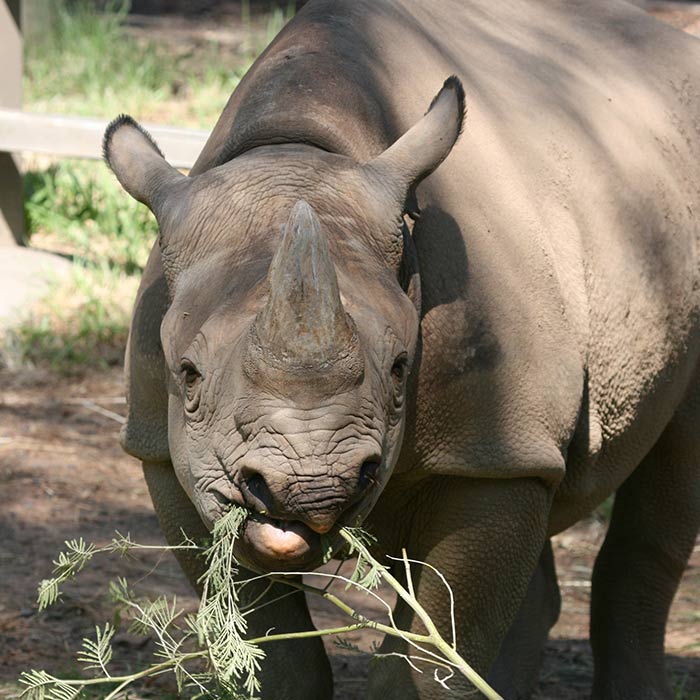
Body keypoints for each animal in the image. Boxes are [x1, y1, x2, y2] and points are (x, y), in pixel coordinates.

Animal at [103, 0, 700, 697]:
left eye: (399, 367)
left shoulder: (490, 456)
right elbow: (277, 657)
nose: (312, 488)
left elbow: (428, 658)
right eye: (188, 375)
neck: (296, 149)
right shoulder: (166, 453)